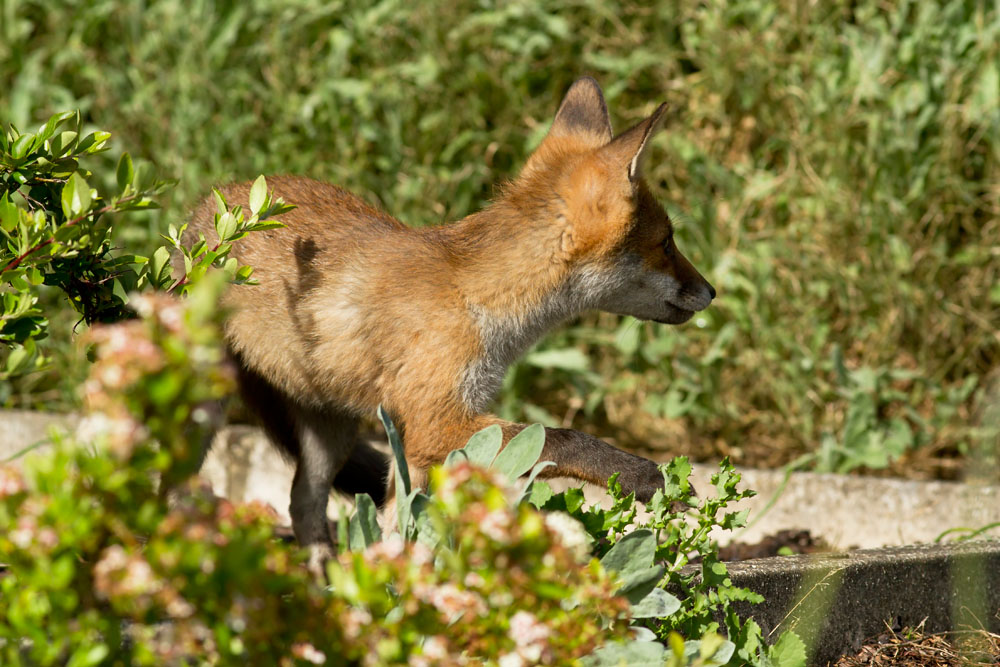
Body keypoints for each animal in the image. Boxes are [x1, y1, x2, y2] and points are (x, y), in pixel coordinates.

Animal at [188, 77, 715, 573]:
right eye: (667, 243)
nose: (711, 292)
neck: (479, 298)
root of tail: (208, 204)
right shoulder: (434, 423)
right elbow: (567, 438)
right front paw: (651, 478)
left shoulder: (417, 443)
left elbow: (401, 526)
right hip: (206, 406)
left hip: (330, 429)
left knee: (303, 502)